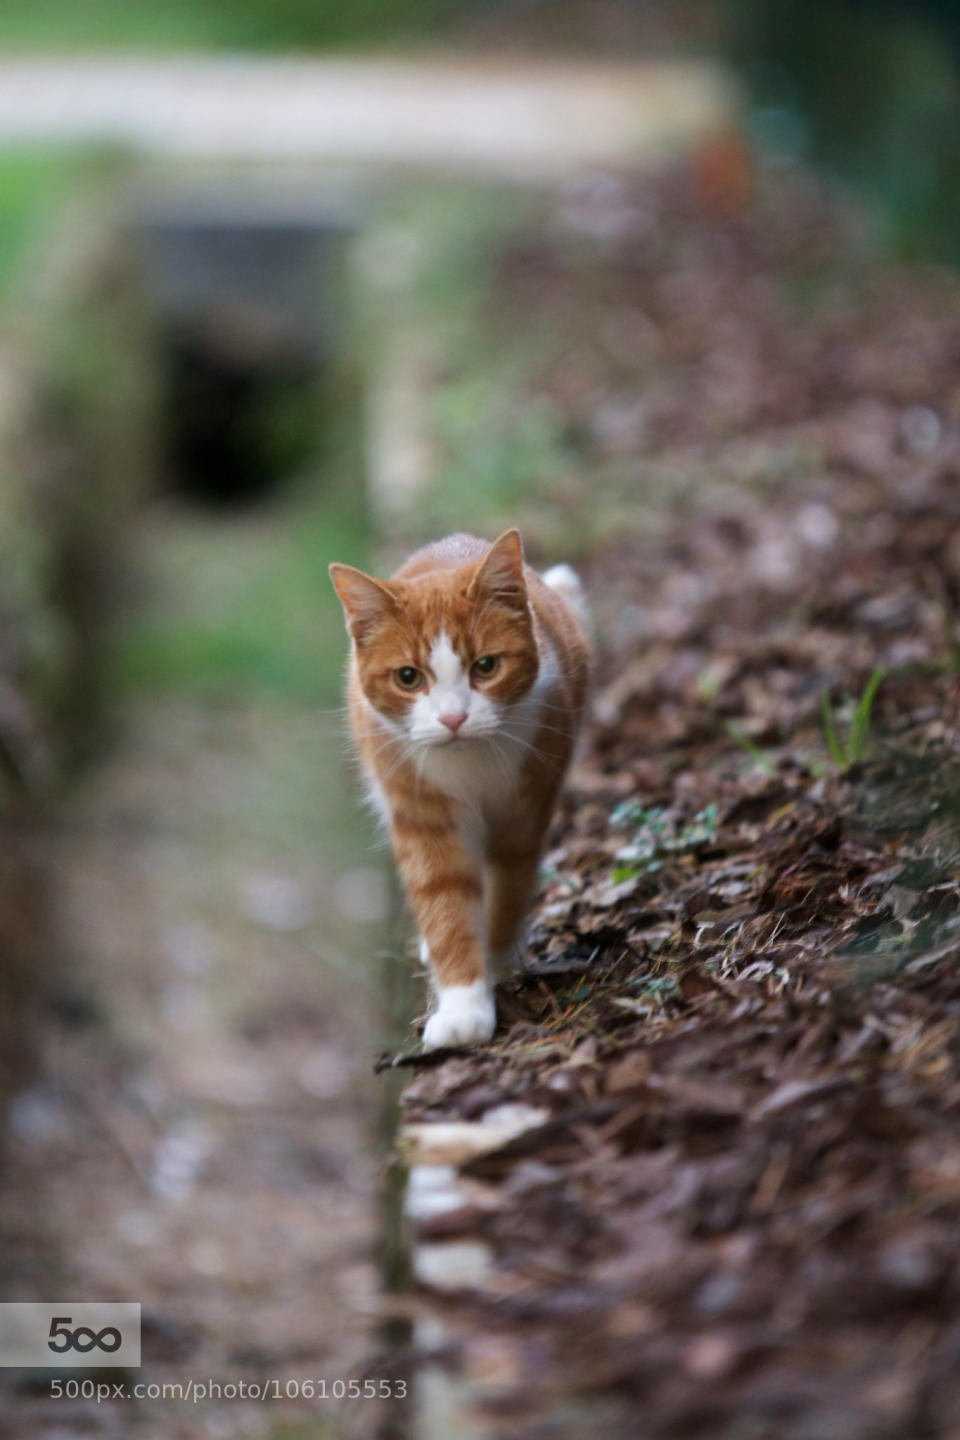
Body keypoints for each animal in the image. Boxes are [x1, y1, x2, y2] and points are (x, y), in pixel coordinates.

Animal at [331, 529, 590, 1048]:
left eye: (486, 667)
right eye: (408, 677)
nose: (453, 718)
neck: (469, 765)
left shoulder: (525, 808)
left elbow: (508, 890)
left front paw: (495, 961)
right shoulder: (421, 814)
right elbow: (445, 901)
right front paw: (462, 1005)